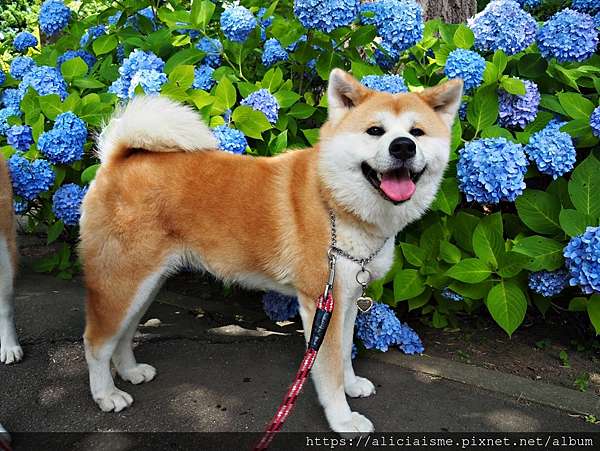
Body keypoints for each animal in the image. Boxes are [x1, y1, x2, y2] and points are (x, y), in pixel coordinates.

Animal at [79, 70, 462, 434]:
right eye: (375, 131)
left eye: (417, 132)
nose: (403, 147)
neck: (334, 203)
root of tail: (118, 158)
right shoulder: (320, 301)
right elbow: (329, 370)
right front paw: (343, 420)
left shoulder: (347, 298)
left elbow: (344, 357)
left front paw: (352, 386)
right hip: (121, 283)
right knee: (96, 342)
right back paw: (107, 394)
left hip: (145, 285)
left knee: (124, 333)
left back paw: (130, 371)